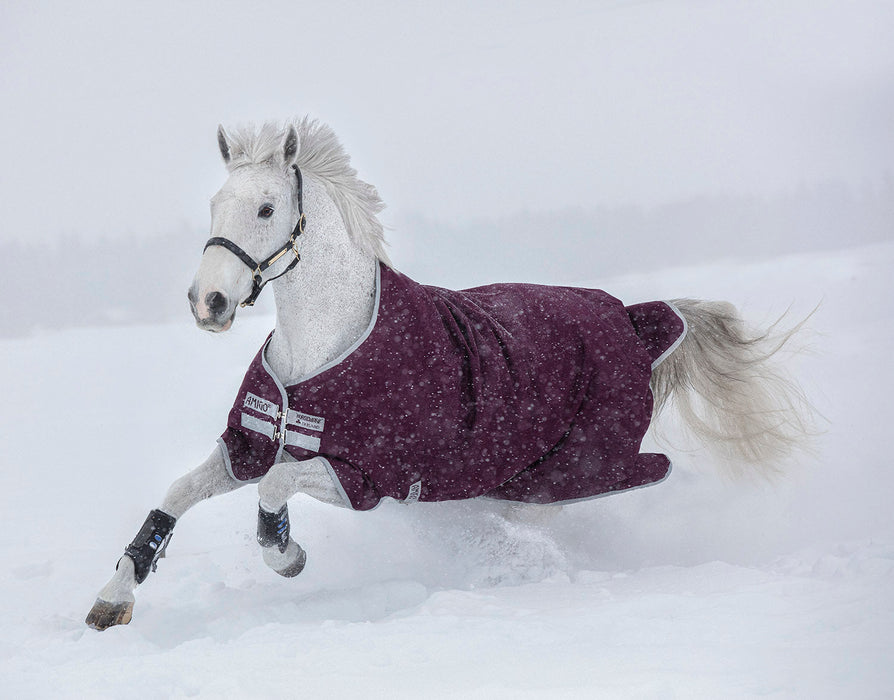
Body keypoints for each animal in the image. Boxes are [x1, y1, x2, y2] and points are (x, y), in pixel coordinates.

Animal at [84, 117, 812, 632]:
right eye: (215, 203)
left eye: (265, 209)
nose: (207, 303)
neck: (321, 350)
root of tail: (632, 319)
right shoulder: (251, 443)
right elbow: (178, 493)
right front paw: (113, 599)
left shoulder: (367, 476)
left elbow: (273, 490)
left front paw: (286, 557)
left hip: (567, 476)